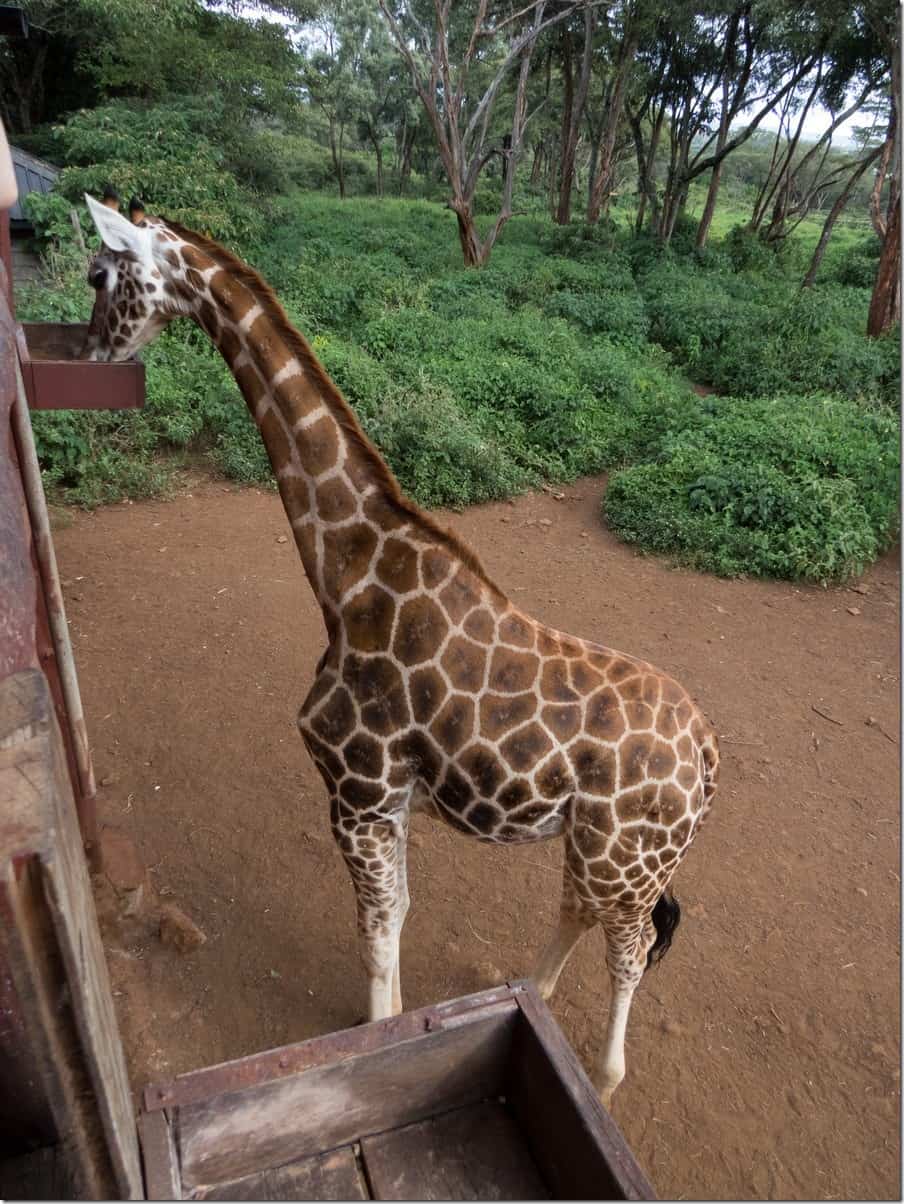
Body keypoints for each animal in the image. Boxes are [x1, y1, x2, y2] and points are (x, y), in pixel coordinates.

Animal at [84, 192, 722, 1102]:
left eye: (99, 273)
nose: (93, 350)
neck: (345, 574)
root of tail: (707, 753)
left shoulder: (358, 789)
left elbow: (378, 928)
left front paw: (375, 1038)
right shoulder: (384, 799)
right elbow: (397, 917)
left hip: (628, 856)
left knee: (629, 952)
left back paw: (602, 1080)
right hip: (599, 847)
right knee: (578, 910)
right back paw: (535, 993)